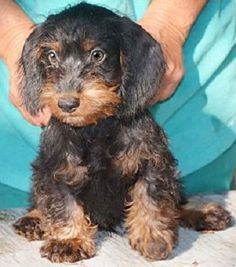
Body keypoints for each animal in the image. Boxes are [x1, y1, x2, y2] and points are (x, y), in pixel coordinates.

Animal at [12, 3, 230, 264]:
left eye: (97, 55)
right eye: (52, 56)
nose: (66, 104)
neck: (96, 126)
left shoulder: (152, 159)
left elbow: (151, 195)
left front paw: (152, 237)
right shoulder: (54, 169)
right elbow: (61, 204)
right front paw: (69, 240)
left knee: (177, 198)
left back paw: (202, 212)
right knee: (38, 199)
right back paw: (33, 218)